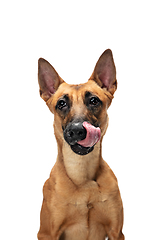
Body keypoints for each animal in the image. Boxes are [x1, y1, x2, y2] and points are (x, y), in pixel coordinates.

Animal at [37, 49, 125, 240]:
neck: (82, 176)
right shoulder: (50, 233)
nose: (77, 130)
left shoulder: (116, 232)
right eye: (61, 103)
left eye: (94, 101)